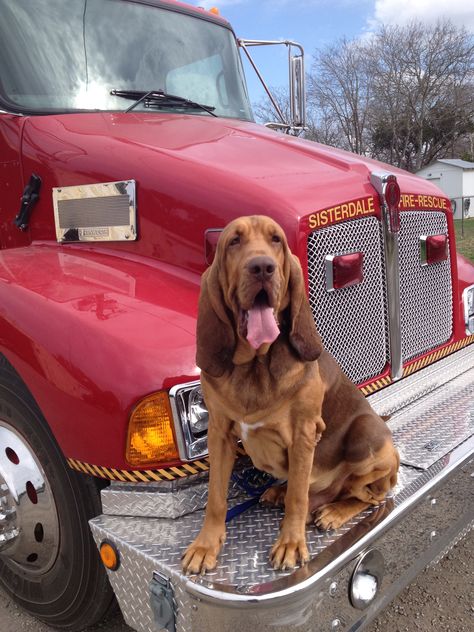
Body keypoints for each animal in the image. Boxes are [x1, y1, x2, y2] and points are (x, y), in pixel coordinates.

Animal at [182, 215, 400, 576]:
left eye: (276, 240)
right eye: (234, 241)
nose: (262, 267)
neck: (255, 366)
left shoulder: (303, 433)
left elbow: (298, 497)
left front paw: (291, 544)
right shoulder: (219, 433)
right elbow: (215, 496)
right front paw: (205, 546)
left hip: (366, 437)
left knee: (370, 496)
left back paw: (333, 511)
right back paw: (281, 492)